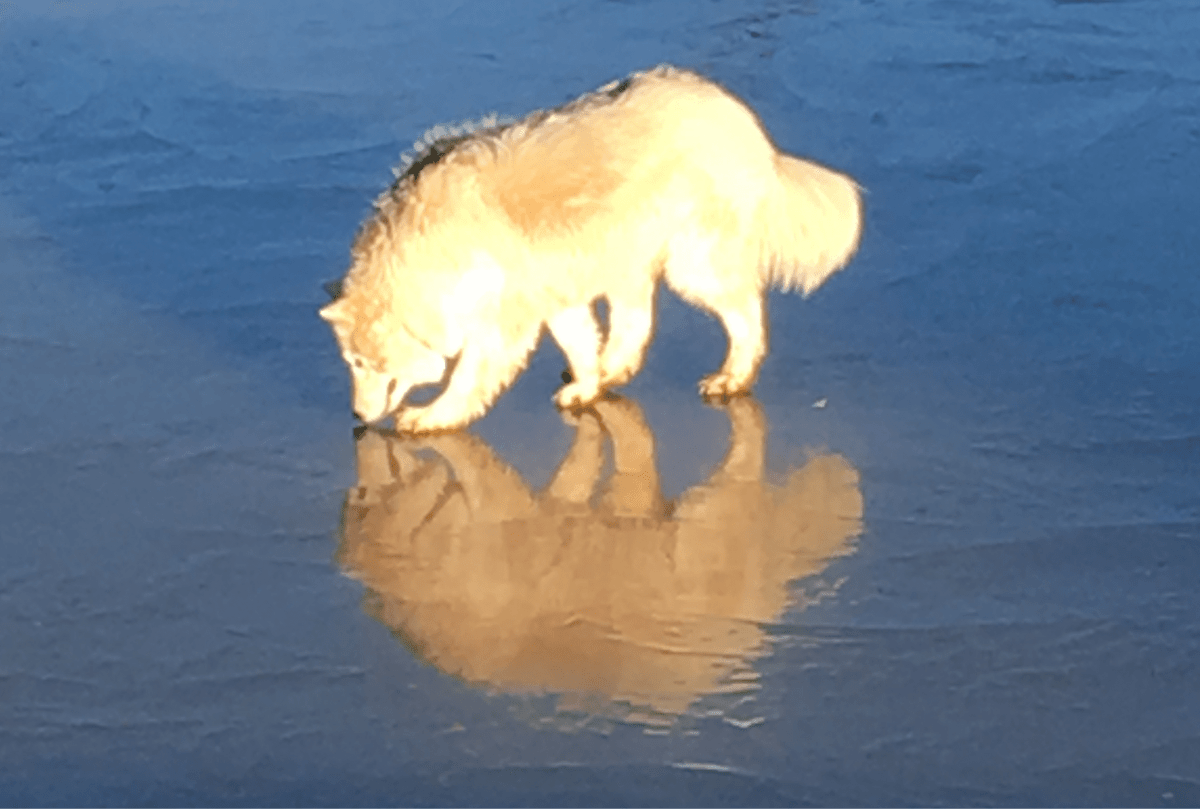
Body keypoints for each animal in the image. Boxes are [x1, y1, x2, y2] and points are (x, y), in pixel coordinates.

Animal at [320, 65, 862, 433]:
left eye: (361, 363)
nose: (357, 416)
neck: (427, 253)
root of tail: (743, 121)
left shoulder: (505, 317)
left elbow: (470, 374)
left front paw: (434, 416)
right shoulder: (550, 291)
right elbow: (579, 340)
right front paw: (585, 384)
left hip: (692, 261)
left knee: (745, 310)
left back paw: (732, 376)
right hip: (625, 252)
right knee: (636, 319)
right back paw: (614, 369)